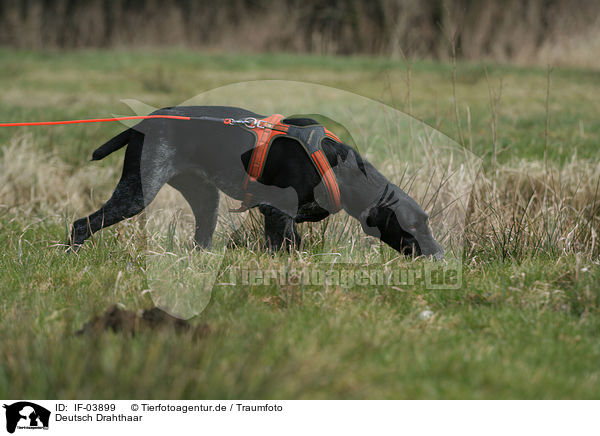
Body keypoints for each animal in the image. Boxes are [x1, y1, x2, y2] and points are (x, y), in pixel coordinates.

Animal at [71, 105, 446, 258]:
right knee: (81, 225)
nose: (439, 255)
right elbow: (284, 244)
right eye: (414, 226)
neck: (342, 169)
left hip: (205, 199)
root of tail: (140, 124)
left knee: (201, 240)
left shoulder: (283, 216)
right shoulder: (275, 210)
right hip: (137, 191)